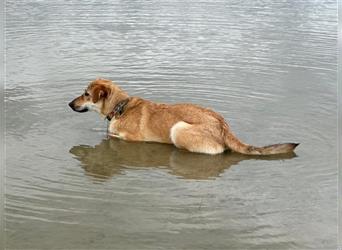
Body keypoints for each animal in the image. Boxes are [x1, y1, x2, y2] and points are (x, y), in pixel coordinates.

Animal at [68, 79, 298, 155]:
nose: (69, 104)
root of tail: (223, 126)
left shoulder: (127, 138)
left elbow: (112, 135)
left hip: (178, 128)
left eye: (86, 94)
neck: (120, 106)